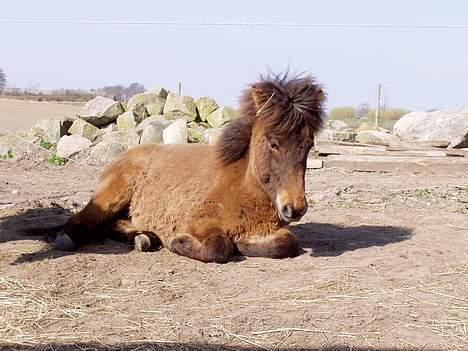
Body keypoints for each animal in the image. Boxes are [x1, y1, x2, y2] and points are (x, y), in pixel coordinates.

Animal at [54, 73, 326, 262]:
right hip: (113, 195)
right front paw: (178, 242)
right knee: (84, 219)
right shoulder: (197, 222)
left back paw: (144, 238)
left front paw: (246, 244)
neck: (242, 187)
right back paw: (67, 239)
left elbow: (288, 244)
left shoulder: (274, 230)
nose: (295, 208)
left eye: (309, 145)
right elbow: (219, 246)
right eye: (274, 143)